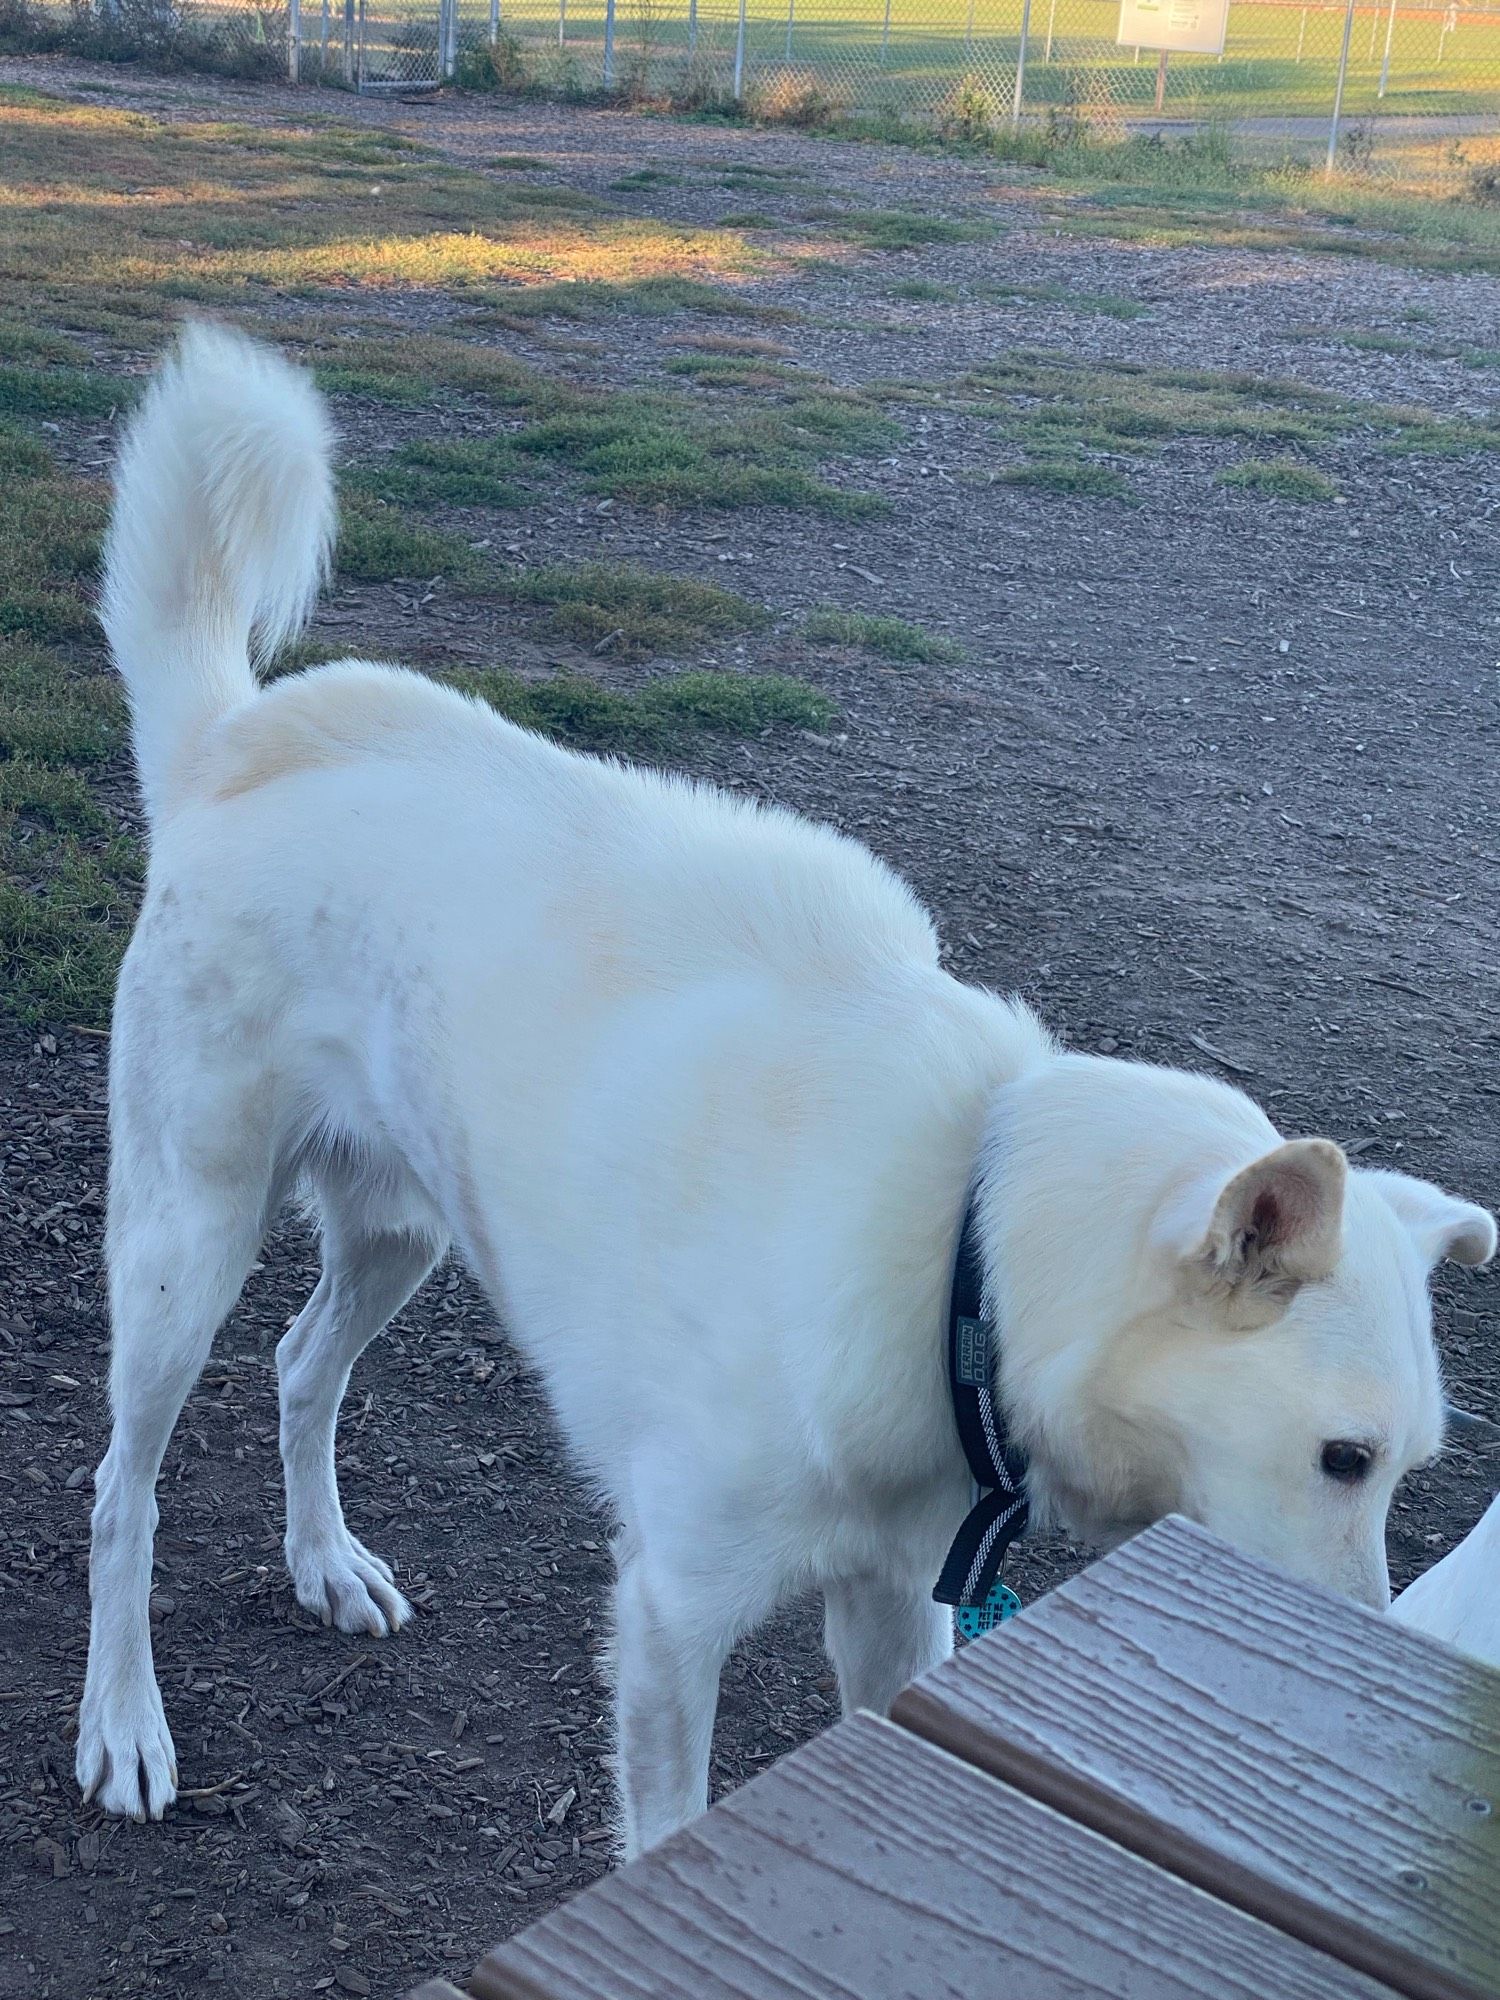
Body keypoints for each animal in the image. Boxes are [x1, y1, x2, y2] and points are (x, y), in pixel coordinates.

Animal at [79, 328, 1496, 1840]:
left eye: (1409, 1468)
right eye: (1345, 1458)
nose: (1377, 1674)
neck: (963, 1244)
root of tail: (231, 747)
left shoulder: (892, 1605)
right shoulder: (672, 1611)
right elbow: (668, 1828)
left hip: (402, 1227)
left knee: (301, 1366)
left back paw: (325, 1560)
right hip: (184, 1247)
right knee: (124, 1489)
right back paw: (123, 1720)